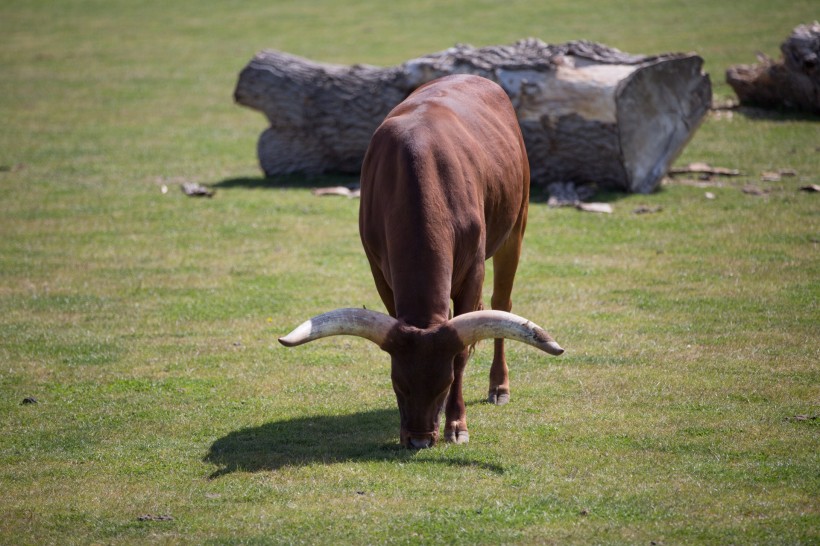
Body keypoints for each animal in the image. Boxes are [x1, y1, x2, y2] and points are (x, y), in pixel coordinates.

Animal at [282, 73, 564, 446]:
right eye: (397, 383)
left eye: (445, 385)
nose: (418, 440)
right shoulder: (380, 272)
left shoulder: (473, 272)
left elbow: (462, 352)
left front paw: (457, 424)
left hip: (516, 226)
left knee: (502, 301)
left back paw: (499, 387)